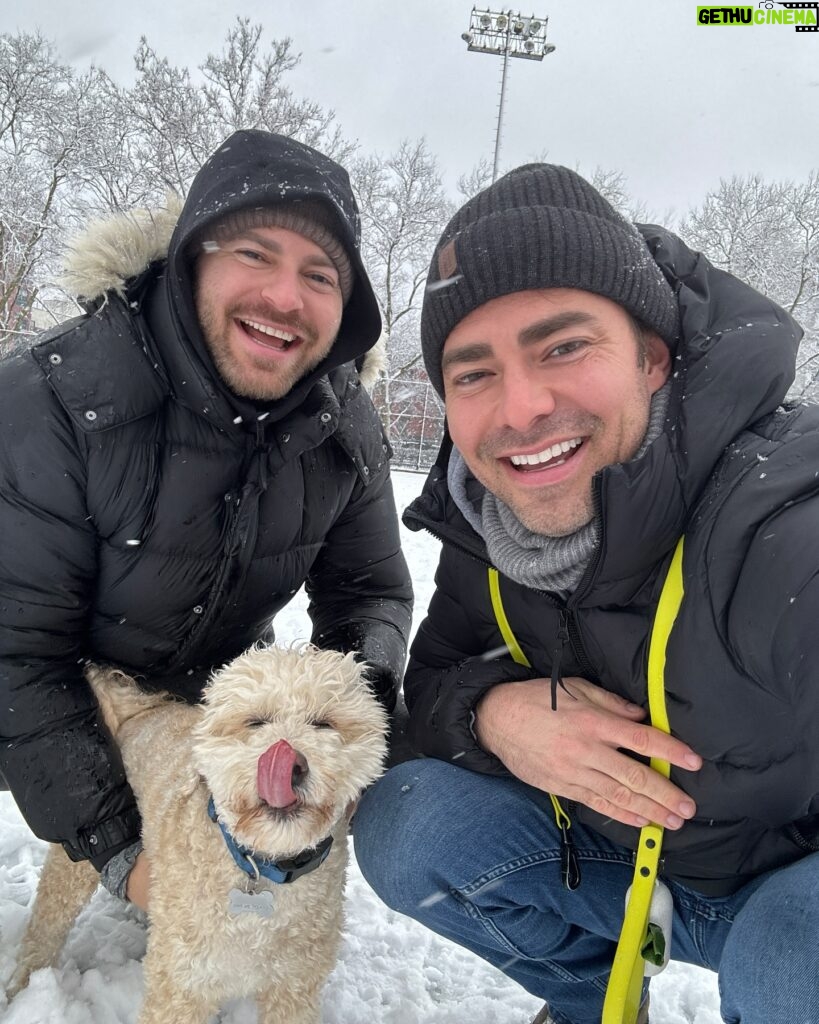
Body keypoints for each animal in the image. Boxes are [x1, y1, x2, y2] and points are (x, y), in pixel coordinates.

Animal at [8, 643, 386, 1019]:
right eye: (255, 722)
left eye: (323, 723)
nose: (289, 764)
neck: (262, 866)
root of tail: (134, 711)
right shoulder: (180, 984)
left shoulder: (294, 987)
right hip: (71, 866)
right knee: (45, 926)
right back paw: (23, 987)